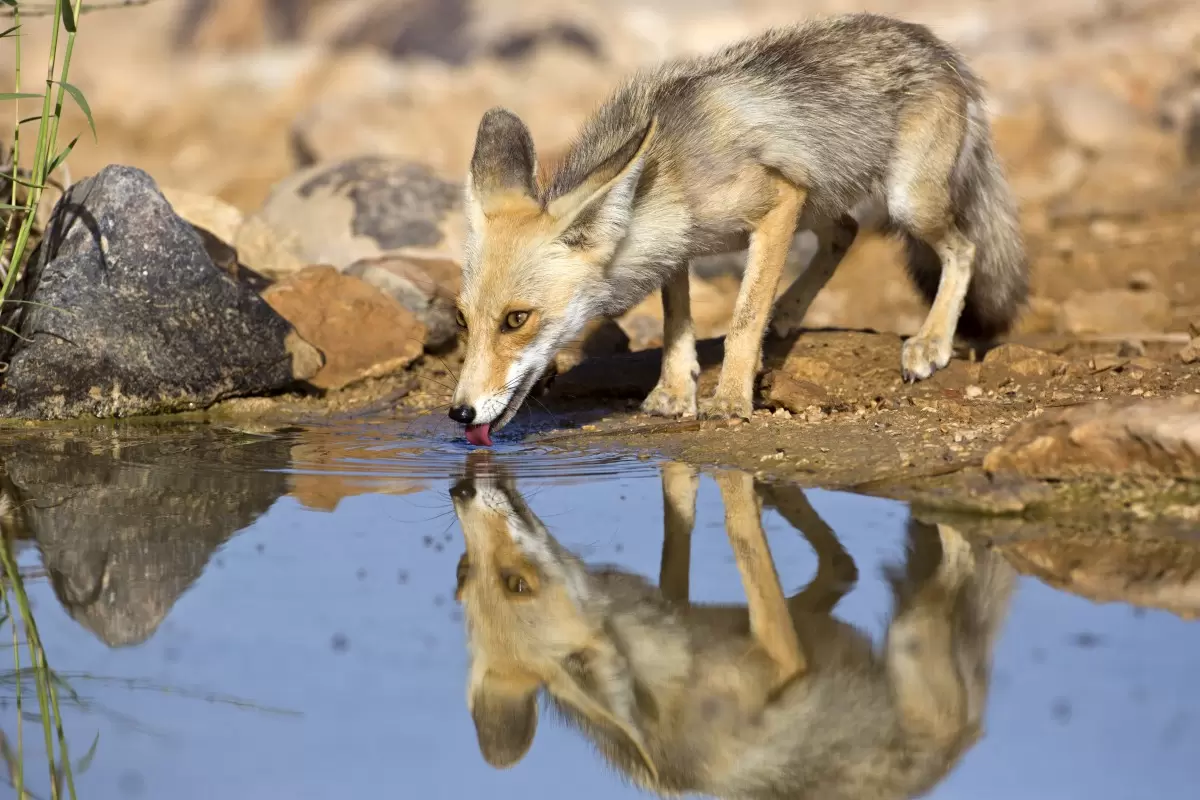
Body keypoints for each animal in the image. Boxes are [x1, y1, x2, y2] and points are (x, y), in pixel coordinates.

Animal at [446, 10, 1027, 443]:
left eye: (516, 320)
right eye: (461, 320)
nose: (460, 414)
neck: (669, 173)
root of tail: (936, 44)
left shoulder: (775, 205)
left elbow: (743, 319)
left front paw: (730, 398)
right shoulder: (681, 244)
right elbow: (676, 321)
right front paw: (675, 392)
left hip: (906, 202)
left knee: (964, 248)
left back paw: (931, 342)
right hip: (819, 196)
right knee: (845, 232)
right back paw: (789, 311)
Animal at [453, 455, 1017, 800]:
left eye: (515, 583)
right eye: (463, 573)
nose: (461, 489)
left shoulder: (783, 658)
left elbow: (734, 531)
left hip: (911, 636)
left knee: (947, 560)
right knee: (848, 566)